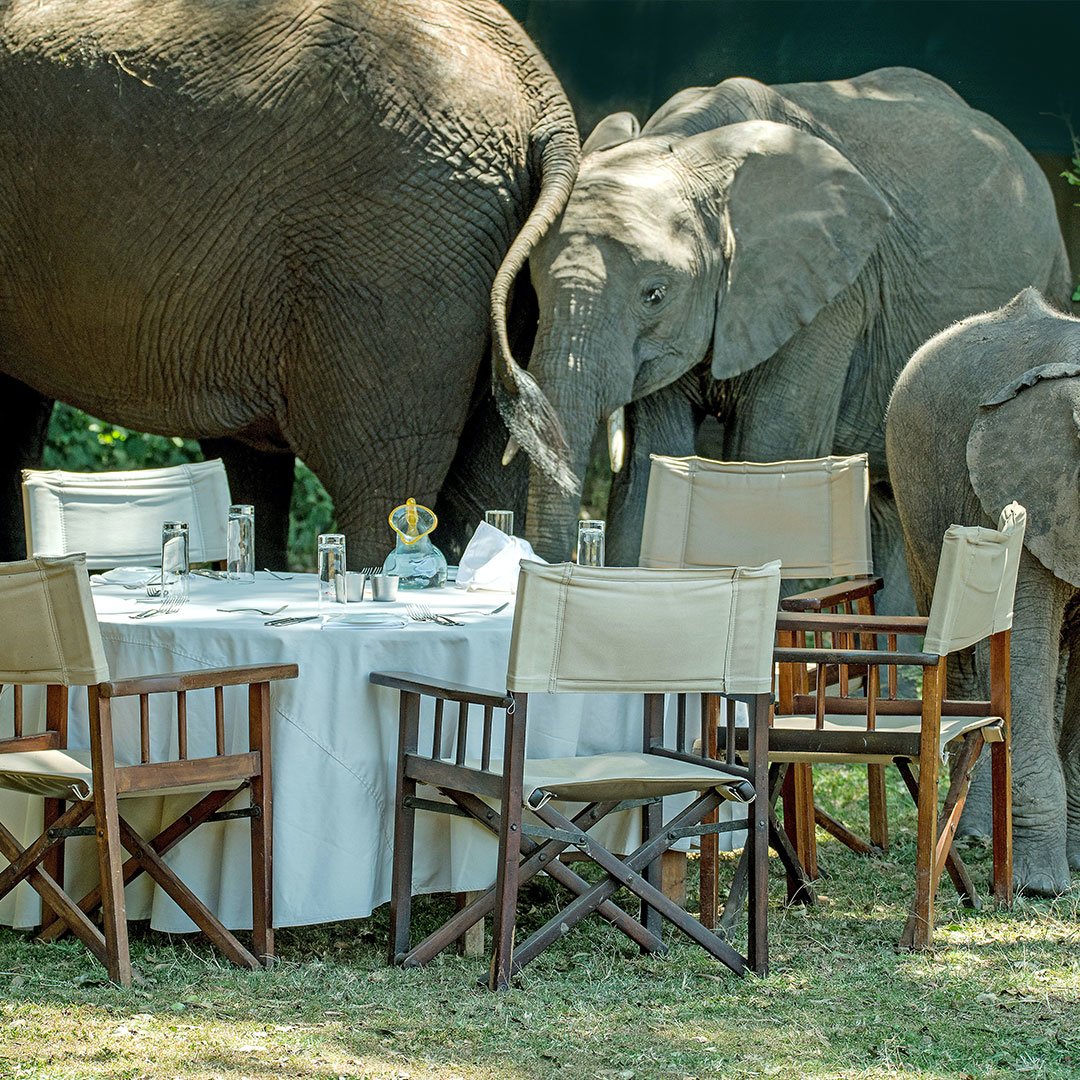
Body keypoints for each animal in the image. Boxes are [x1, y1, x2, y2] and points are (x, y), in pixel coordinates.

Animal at [492, 63, 1071, 613]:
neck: (691, 147)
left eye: (654, 294)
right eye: (534, 292)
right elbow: (654, 462)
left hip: (1050, 274)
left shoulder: (832, 295)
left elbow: (770, 458)